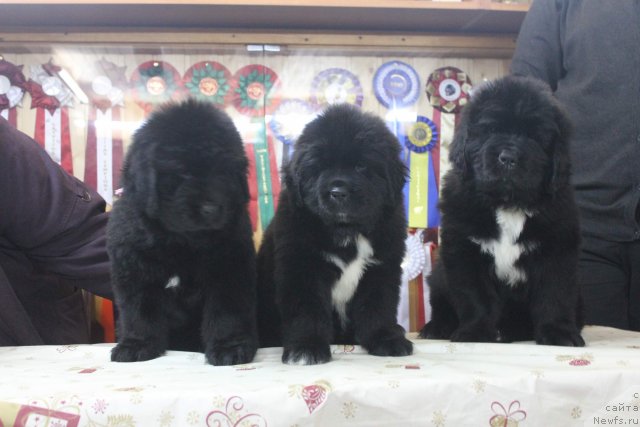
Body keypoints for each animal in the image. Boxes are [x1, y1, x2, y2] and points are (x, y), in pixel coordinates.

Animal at [109, 99, 258, 364]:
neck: (181, 241)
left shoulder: (230, 271)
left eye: (224, 172)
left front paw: (230, 348)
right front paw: (137, 345)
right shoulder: (134, 272)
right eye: (182, 172)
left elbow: (227, 313)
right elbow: (137, 313)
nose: (211, 209)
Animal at [256, 103, 412, 364]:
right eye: (319, 167)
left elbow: (378, 307)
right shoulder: (302, 269)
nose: (338, 192)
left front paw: (386, 339)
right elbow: (307, 311)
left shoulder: (381, 268)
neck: (346, 230)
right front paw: (306, 347)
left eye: (361, 166)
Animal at [420, 76, 584, 348]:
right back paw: (436, 328)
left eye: (535, 137)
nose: (508, 157)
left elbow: (554, 295)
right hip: (439, 275)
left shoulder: (556, 251)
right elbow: (475, 297)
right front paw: (475, 333)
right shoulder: (465, 253)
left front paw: (558, 333)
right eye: (491, 130)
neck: (508, 204)